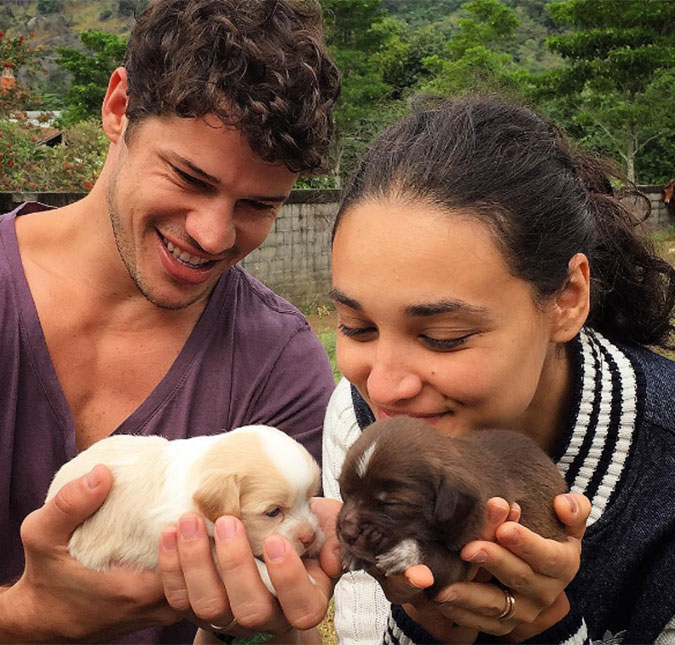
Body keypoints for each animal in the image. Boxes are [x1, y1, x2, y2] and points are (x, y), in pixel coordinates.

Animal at [336, 416, 564, 596]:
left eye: (392, 504)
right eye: (344, 492)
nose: (347, 533)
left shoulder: (464, 559)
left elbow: (440, 559)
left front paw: (405, 552)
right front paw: (350, 553)